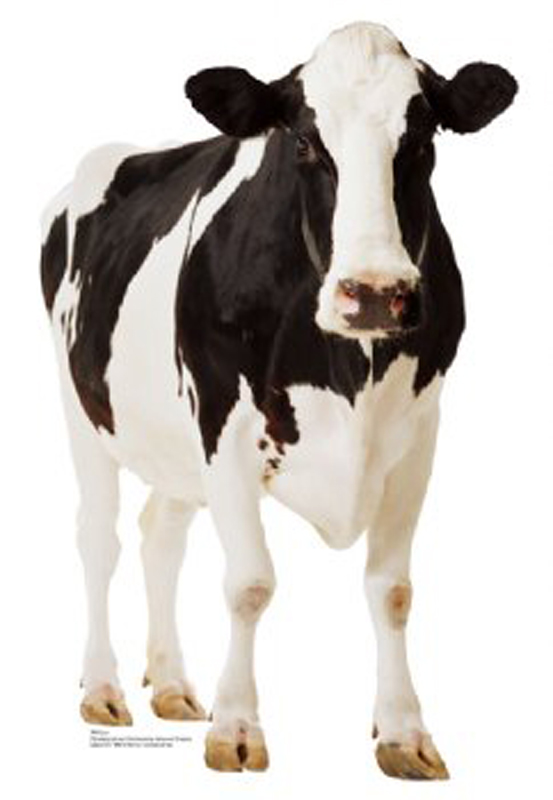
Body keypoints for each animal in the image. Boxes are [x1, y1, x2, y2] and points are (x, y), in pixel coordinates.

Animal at [40, 21, 517, 779]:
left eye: (421, 140)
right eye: (303, 143)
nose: (375, 293)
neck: (347, 366)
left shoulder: (419, 434)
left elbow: (392, 590)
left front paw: (404, 732)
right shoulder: (223, 424)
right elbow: (249, 583)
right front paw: (236, 728)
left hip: (174, 444)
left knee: (160, 535)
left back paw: (170, 684)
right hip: (81, 405)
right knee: (98, 538)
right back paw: (103, 688)